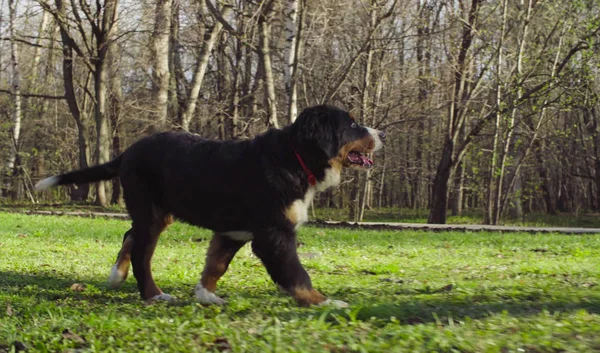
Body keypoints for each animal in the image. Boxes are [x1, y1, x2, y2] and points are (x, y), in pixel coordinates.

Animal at [36, 104, 384, 306]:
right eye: (352, 125)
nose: (381, 132)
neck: (294, 158)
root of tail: (129, 151)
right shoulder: (274, 233)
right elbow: (297, 274)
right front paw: (324, 302)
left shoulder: (233, 231)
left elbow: (216, 263)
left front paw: (206, 294)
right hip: (151, 212)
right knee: (141, 254)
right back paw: (154, 294)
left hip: (160, 213)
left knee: (129, 235)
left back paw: (115, 275)